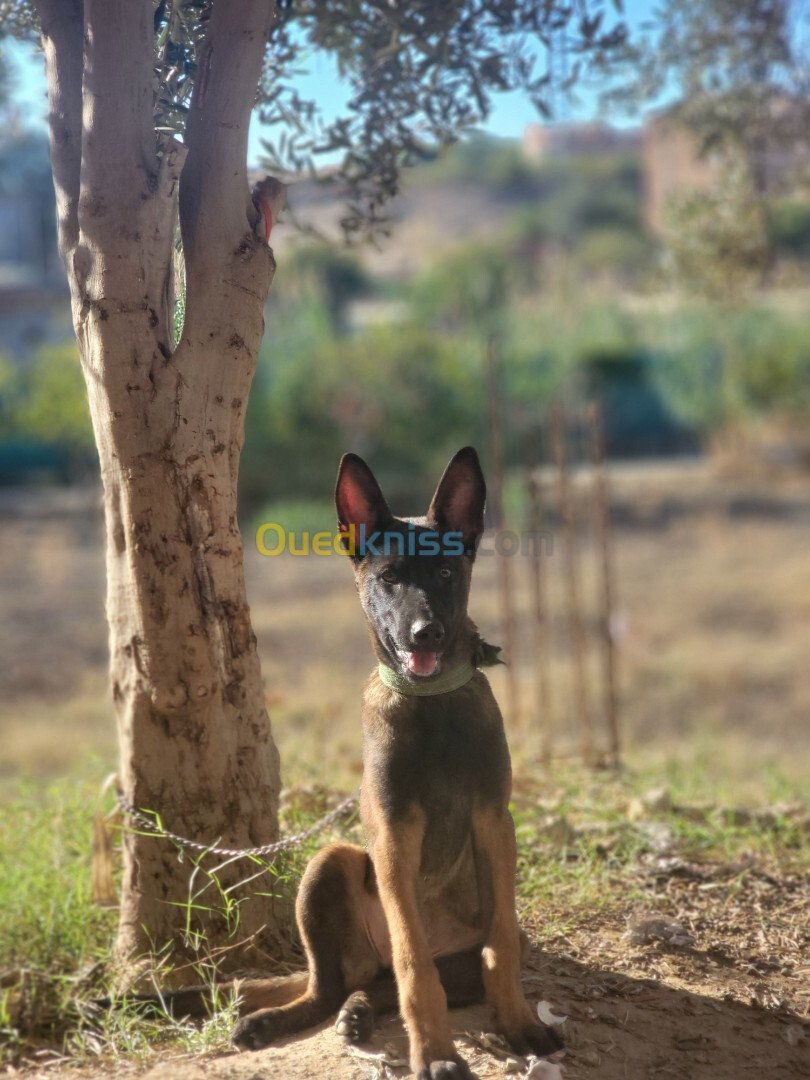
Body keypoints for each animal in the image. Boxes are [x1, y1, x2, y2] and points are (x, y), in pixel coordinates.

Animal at [225, 444, 561, 1071]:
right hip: (330, 861)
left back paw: (359, 1011)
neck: (431, 706)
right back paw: (275, 1021)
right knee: (328, 985)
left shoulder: (494, 821)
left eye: (447, 573)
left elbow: (500, 946)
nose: (426, 633)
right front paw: (435, 1055)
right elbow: (413, 960)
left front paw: (519, 1023)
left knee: (375, 982)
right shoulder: (393, 834)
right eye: (390, 578)